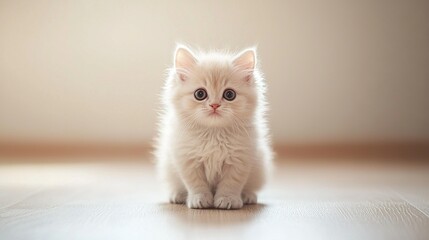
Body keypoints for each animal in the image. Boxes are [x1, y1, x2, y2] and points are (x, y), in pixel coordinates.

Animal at [155, 44, 272, 209]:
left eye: (229, 94)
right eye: (200, 94)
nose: (214, 105)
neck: (213, 134)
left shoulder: (240, 159)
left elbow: (231, 183)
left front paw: (228, 199)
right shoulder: (187, 159)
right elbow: (196, 184)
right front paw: (199, 199)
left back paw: (247, 196)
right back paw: (178, 195)